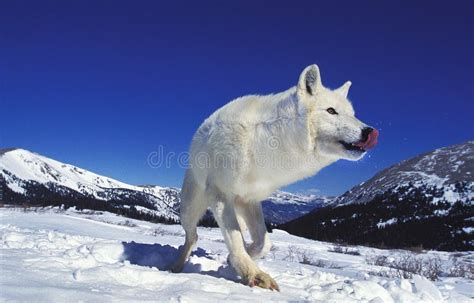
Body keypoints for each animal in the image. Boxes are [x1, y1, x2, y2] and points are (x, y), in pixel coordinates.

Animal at [170, 64, 378, 292]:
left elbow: (263, 243)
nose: (369, 131)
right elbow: (236, 242)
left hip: (237, 208)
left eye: (353, 114)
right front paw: (255, 275)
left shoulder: (249, 200)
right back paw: (176, 267)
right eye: (331, 111)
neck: (264, 146)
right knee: (192, 237)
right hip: (189, 210)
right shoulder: (220, 194)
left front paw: (235, 261)